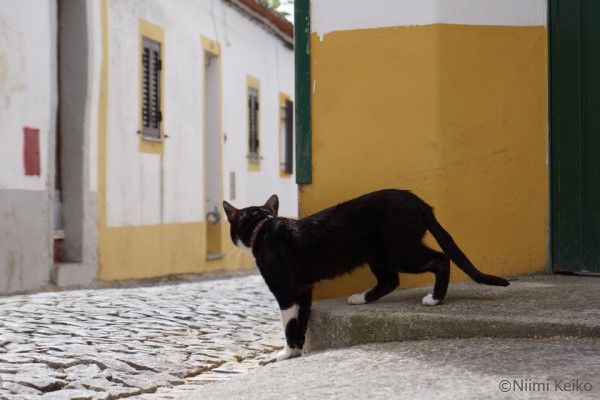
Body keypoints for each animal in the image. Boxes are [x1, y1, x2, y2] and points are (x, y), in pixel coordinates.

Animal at [223, 189, 508, 360]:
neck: (264, 226)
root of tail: (413, 198)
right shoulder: (304, 289)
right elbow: (302, 320)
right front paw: (298, 350)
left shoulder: (285, 290)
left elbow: (288, 324)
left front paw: (285, 353)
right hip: (377, 254)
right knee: (390, 280)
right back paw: (361, 298)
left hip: (397, 251)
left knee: (440, 259)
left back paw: (435, 298)